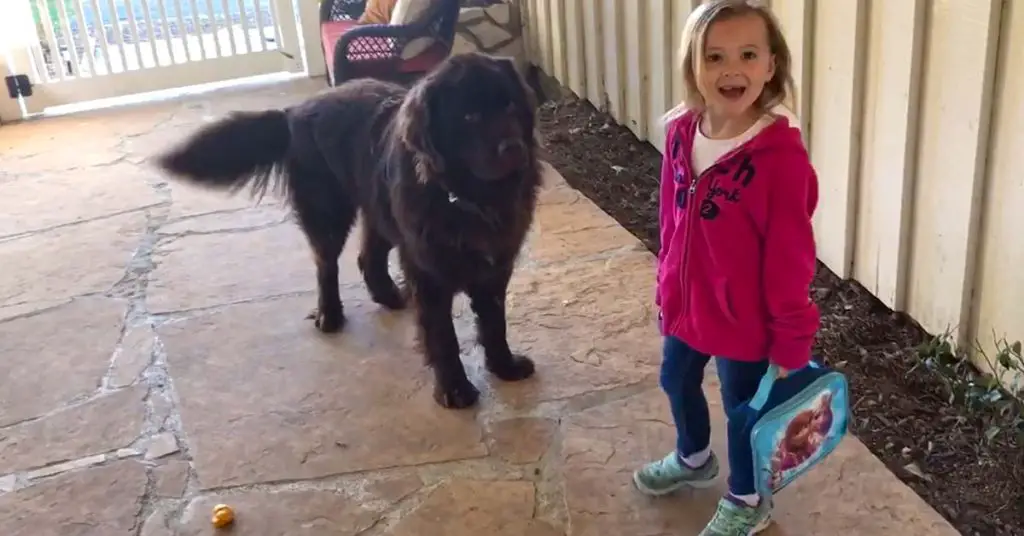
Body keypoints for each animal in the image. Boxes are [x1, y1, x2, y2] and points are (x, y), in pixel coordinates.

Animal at [153, 52, 544, 409]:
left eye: (509, 104)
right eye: (469, 116)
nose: (513, 148)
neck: (469, 198)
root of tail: (294, 111)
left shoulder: (495, 266)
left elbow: (494, 323)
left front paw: (505, 366)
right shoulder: (429, 273)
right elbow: (442, 336)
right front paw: (455, 390)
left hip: (378, 209)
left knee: (367, 257)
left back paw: (389, 296)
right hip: (328, 214)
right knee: (326, 264)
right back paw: (330, 315)